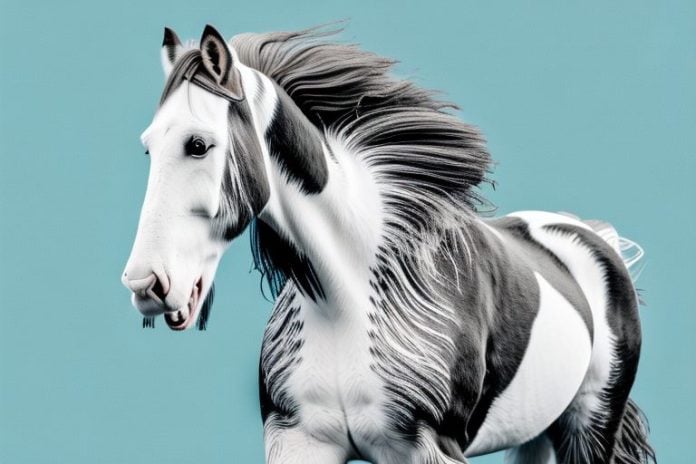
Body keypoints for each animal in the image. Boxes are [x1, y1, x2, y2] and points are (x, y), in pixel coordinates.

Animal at [121, 25, 655, 464]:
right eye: (147, 147)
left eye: (198, 144)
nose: (145, 284)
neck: (342, 301)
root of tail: (590, 235)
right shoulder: (297, 439)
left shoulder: (428, 447)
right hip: (537, 434)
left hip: (589, 426)